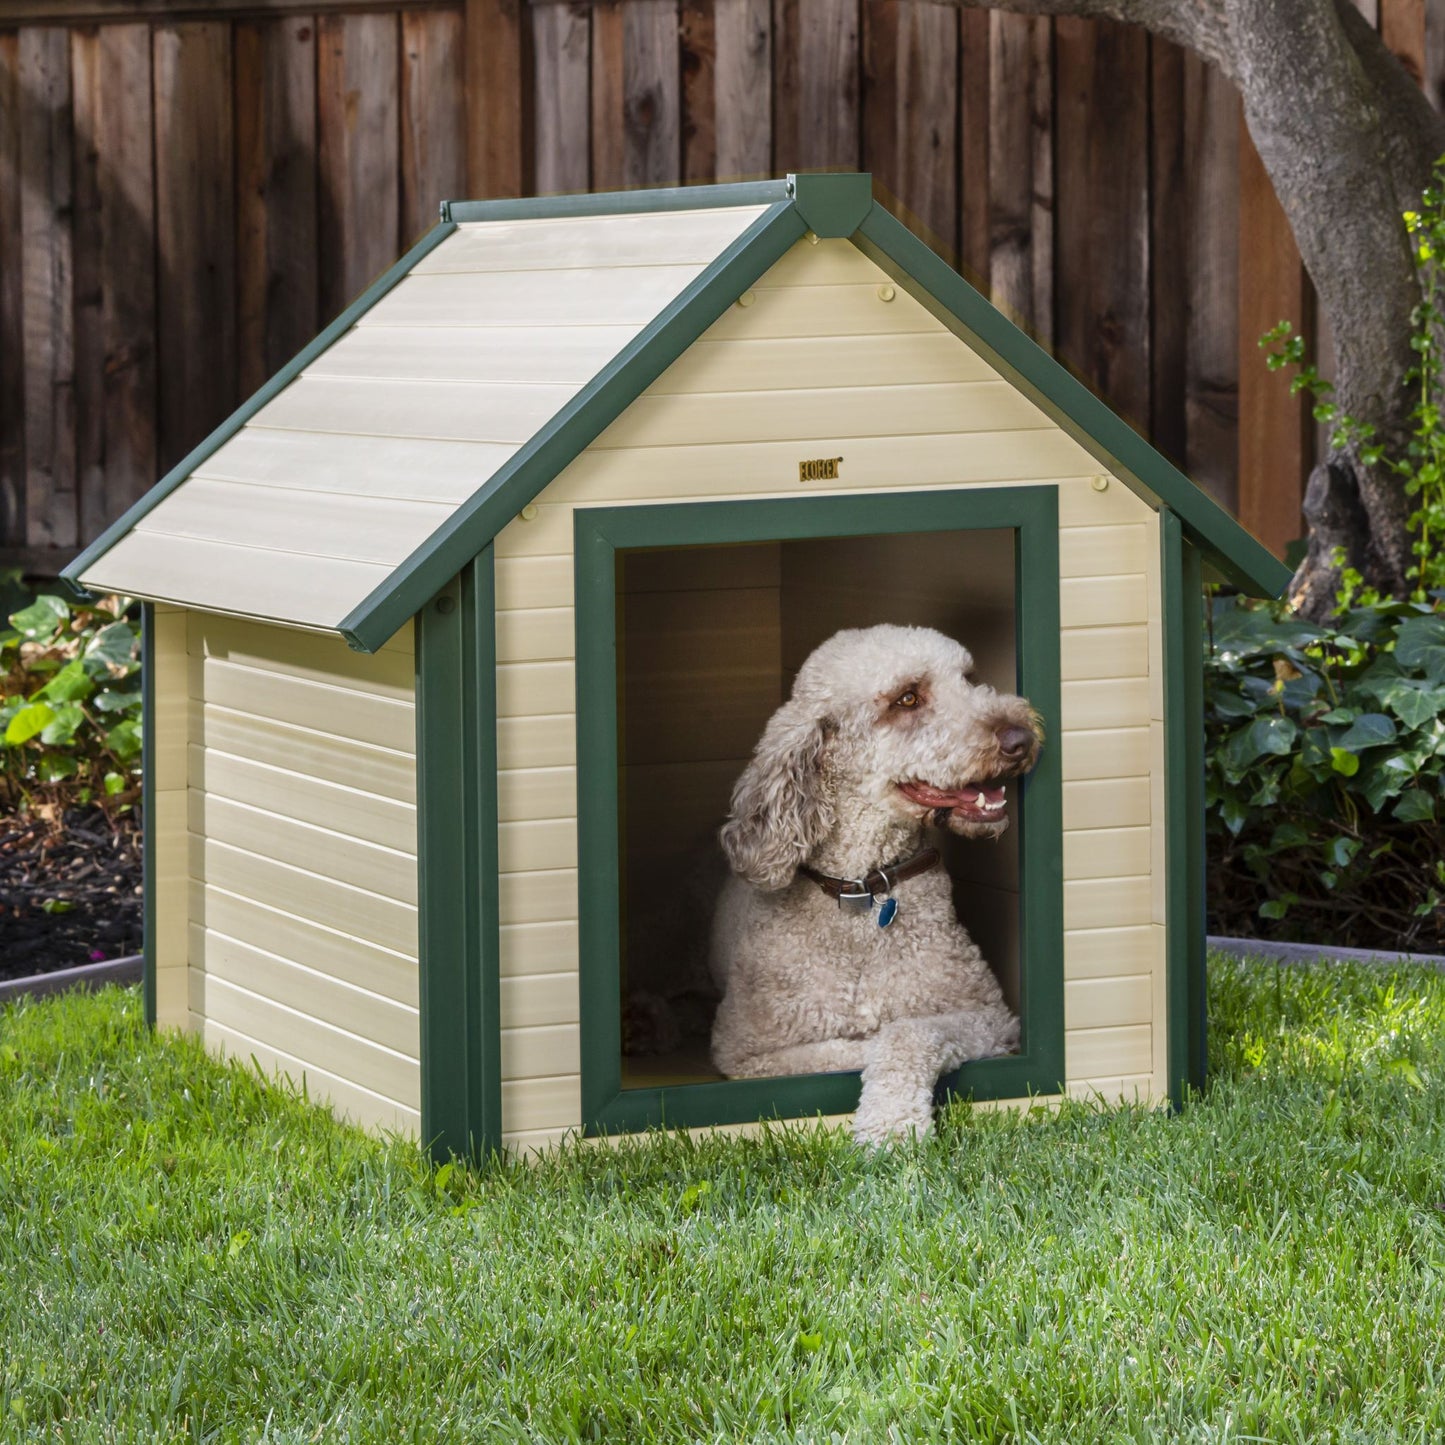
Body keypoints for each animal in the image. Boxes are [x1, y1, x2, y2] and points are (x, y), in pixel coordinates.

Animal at [708, 627, 1040, 1144]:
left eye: (968, 678)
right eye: (908, 698)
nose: (1020, 738)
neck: (865, 889)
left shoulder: (989, 1014)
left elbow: (904, 1032)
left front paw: (892, 1126)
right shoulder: (745, 1050)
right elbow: (847, 1047)